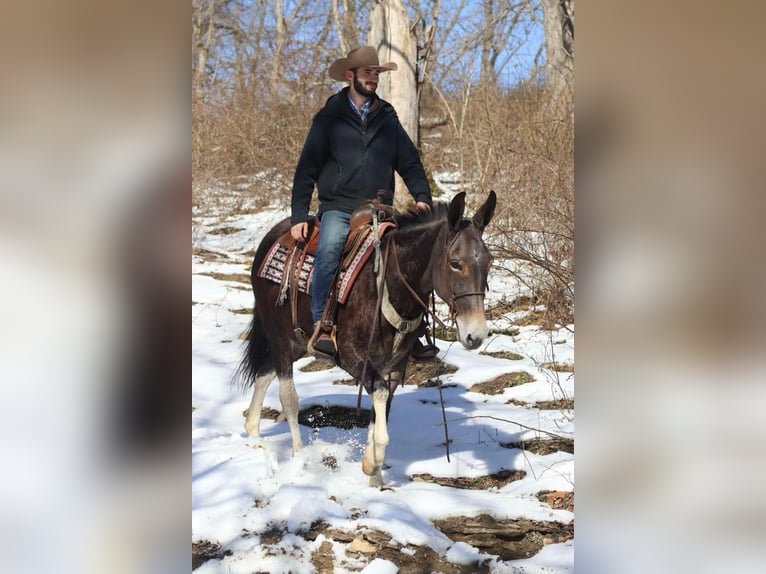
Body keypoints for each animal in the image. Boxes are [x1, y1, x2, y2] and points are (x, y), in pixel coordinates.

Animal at [236, 191, 496, 486]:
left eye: (489, 262)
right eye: (455, 264)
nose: (476, 334)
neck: (389, 284)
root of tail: (271, 238)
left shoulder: (393, 365)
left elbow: (382, 406)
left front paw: (375, 476)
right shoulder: (351, 355)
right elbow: (379, 398)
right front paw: (372, 464)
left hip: (298, 341)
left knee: (263, 374)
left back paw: (253, 433)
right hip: (280, 336)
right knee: (288, 396)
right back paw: (299, 457)